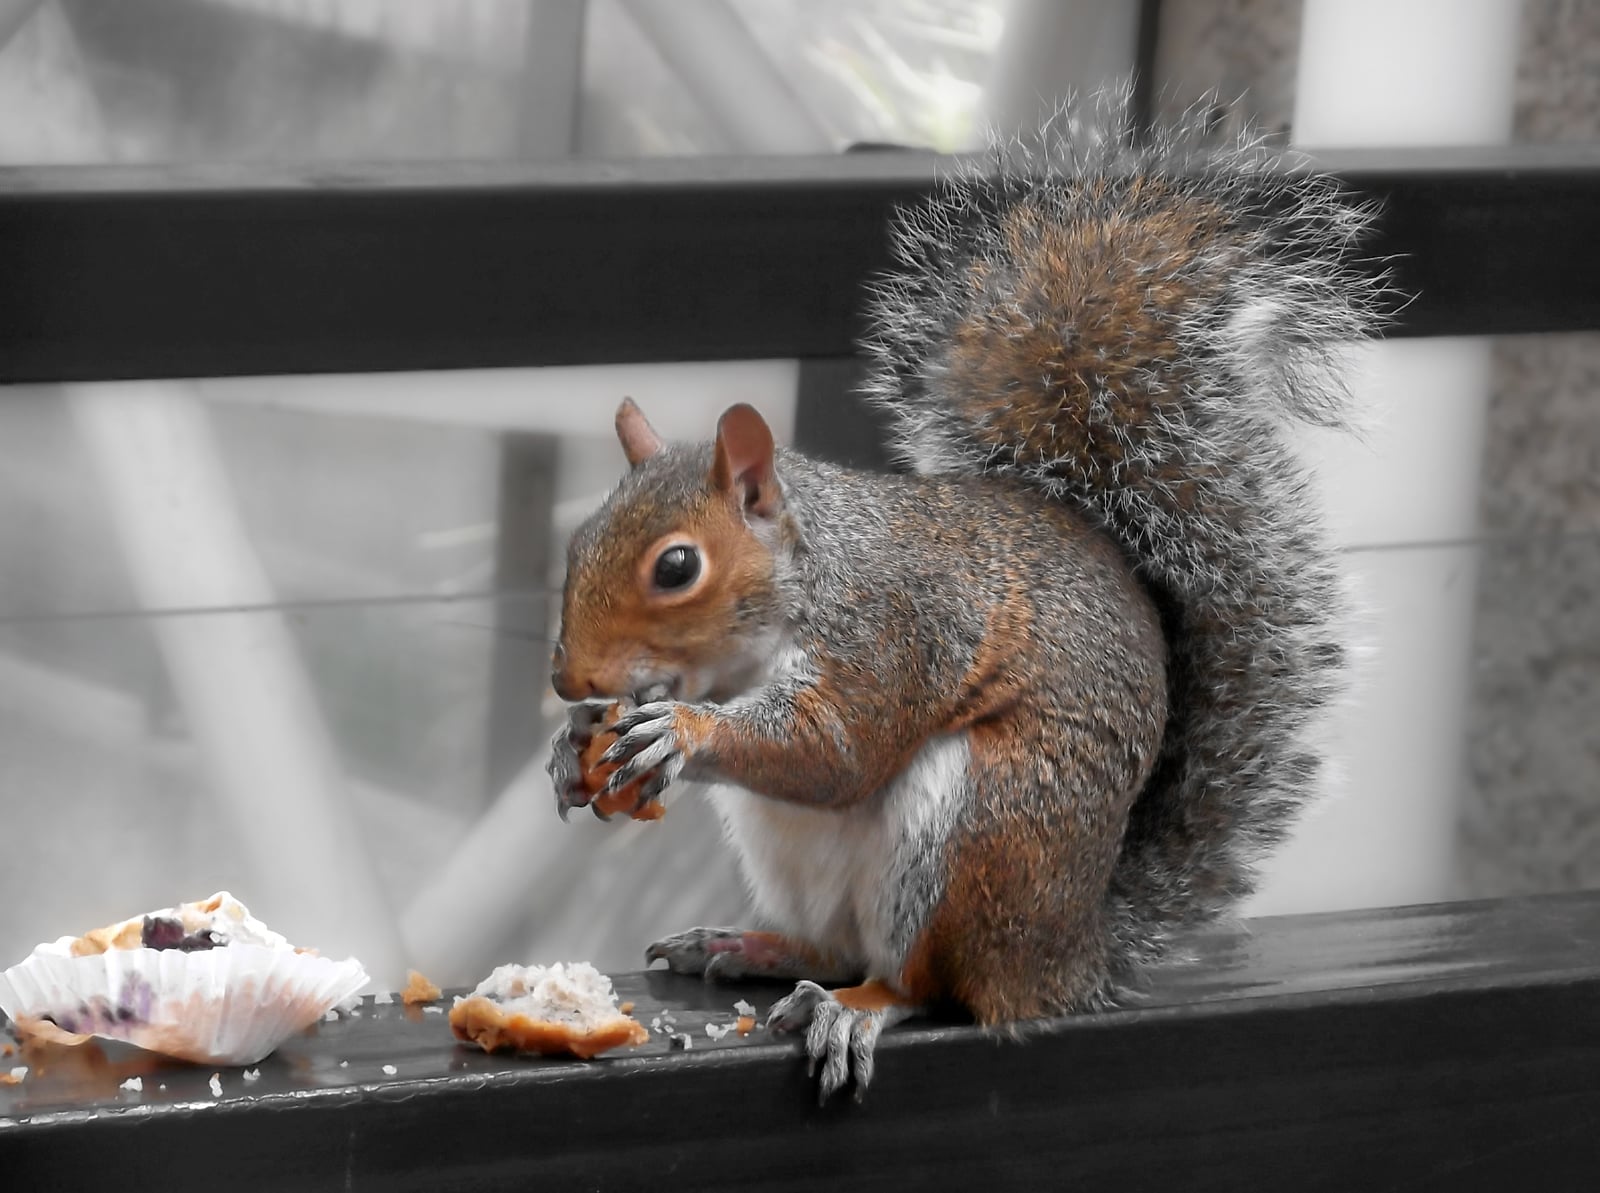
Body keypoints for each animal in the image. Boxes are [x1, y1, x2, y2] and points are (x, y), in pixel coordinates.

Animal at [546, 91, 1383, 1101]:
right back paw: (753, 944)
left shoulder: (897, 627)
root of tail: (1067, 956)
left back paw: (860, 1006)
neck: (803, 581)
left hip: (981, 831)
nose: (568, 679)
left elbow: (836, 749)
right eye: (580, 540)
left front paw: (679, 732)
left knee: (925, 981)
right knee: (834, 944)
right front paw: (572, 748)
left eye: (676, 567)